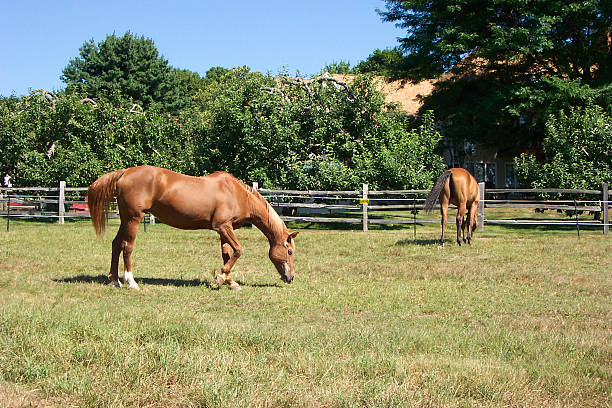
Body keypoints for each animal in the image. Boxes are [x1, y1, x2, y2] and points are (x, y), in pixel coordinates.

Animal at [88, 165, 298, 290]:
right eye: (289, 252)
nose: (291, 277)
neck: (236, 193)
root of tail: (125, 172)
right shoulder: (223, 227)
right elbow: (238, 250)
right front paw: (220, 278)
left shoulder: (224, 230)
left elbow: (227, 255)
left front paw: (230, 281)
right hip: (133, 219)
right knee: (127, 247)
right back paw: (131, 282)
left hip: (125, 219)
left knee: (116, 244)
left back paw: (115, 280)